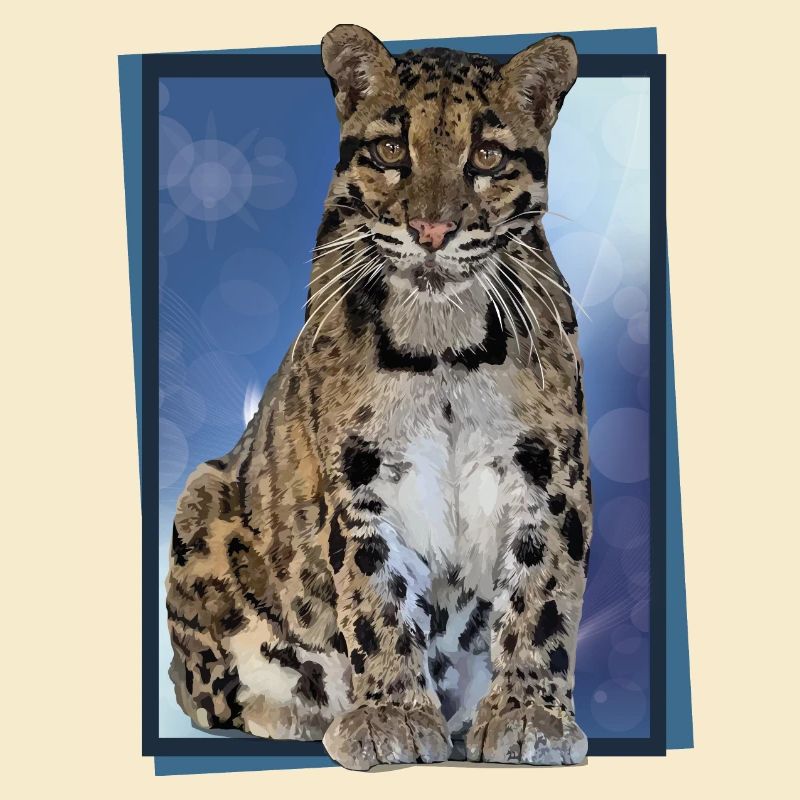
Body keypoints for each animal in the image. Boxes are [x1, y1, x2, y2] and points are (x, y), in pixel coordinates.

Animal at [166, 24, 592, 770]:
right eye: (393, 149)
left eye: (486, 155)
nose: (431, 231)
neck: (443, 344)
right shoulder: (358, 476)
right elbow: (375, 597)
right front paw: (391, 715)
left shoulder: (549, 473)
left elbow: (542, 595)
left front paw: (528, 714)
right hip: (201, 496)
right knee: (207, 692)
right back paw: (300, 710)